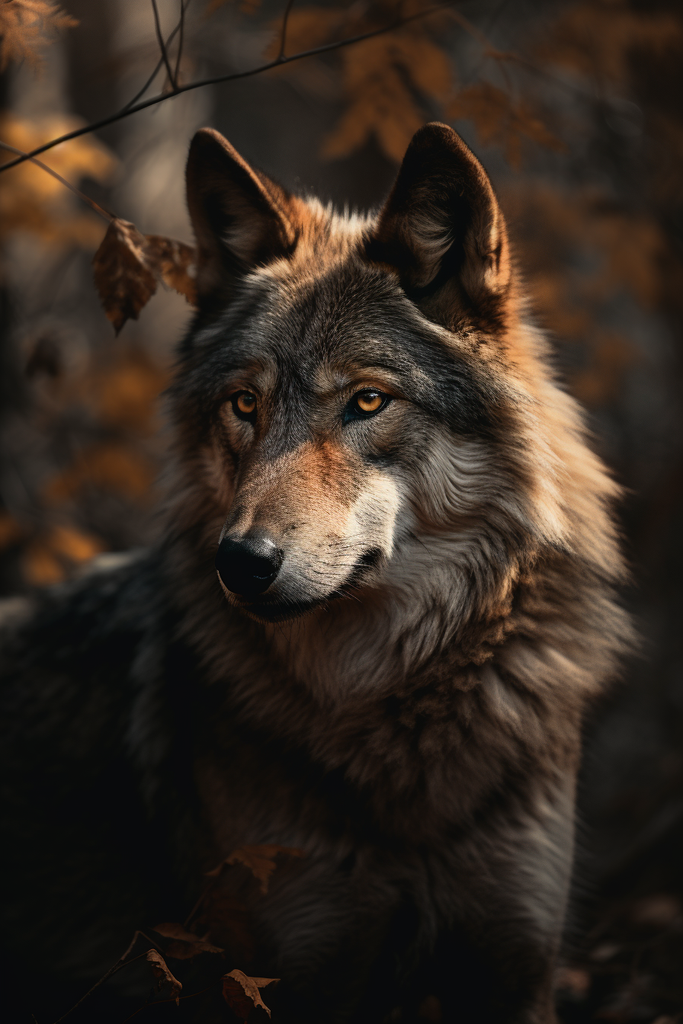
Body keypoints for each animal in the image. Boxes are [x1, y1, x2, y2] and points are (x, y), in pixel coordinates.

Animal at [0, 123, 630, 1023]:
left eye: (366, 402)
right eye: (244, 405)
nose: (239, 562)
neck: (396, 708)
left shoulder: (513, 971)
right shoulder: (291, 973)